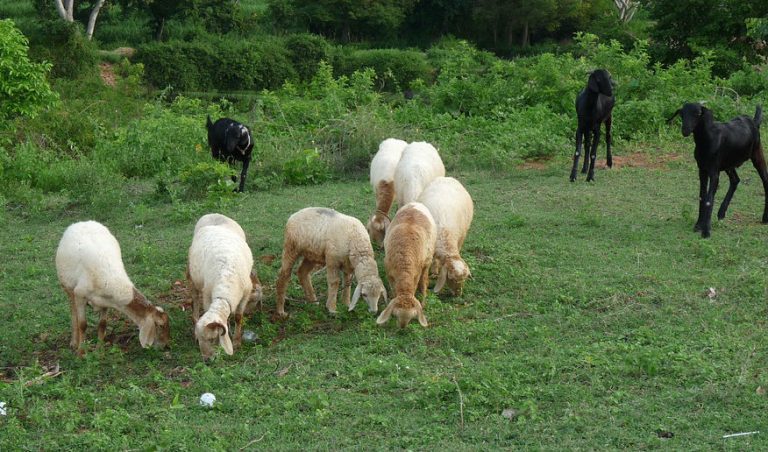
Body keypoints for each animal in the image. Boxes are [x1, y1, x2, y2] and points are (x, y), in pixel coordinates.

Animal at [56, 222, 170, 354]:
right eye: (160, 325)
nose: (165, 346)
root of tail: (82, 222)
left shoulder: (105, 301)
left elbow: (102, 324)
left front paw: (99, 351)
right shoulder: (80, 294)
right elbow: (83, 324)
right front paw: (81, 352)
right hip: (67, 287)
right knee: (73, 311)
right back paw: (74, 342)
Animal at [187, 214, 254, 358]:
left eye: (212, 339)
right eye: (200, 339)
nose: (207, 360)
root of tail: (213, 214)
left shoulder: (246, 293)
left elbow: (238, 317)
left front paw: (236, 341)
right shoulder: (207, 295)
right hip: (193, 277)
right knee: (195, 298)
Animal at [664, 102, 768, 237]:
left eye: (698, 113)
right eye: (682, 114)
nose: (685, 130)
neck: (707, 140)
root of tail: (753, 121)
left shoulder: (714, 171)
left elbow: (709, 199)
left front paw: (706, 230)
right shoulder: (702, 170)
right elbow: (702, 197)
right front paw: (698, 225)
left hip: (757, 153)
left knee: (765, 180)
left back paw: (765, 218)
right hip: (728, 163)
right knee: (735, 180)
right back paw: (721, 213)